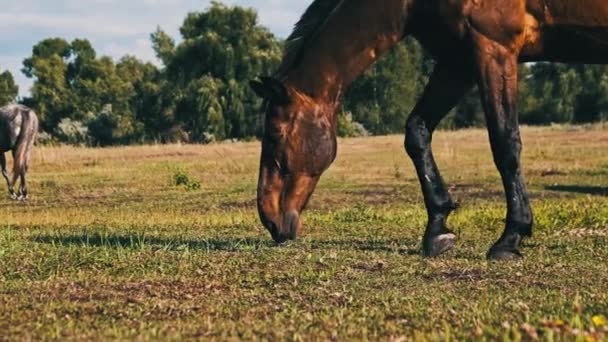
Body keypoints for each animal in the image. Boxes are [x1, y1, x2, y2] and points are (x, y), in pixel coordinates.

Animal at [249, 0, 608, 260]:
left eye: (275, 134)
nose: (270, 220)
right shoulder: (458, 61)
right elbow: (417, 132)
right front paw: (438, 229)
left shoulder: (493, 49)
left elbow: (505, 142)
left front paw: (510, 238)